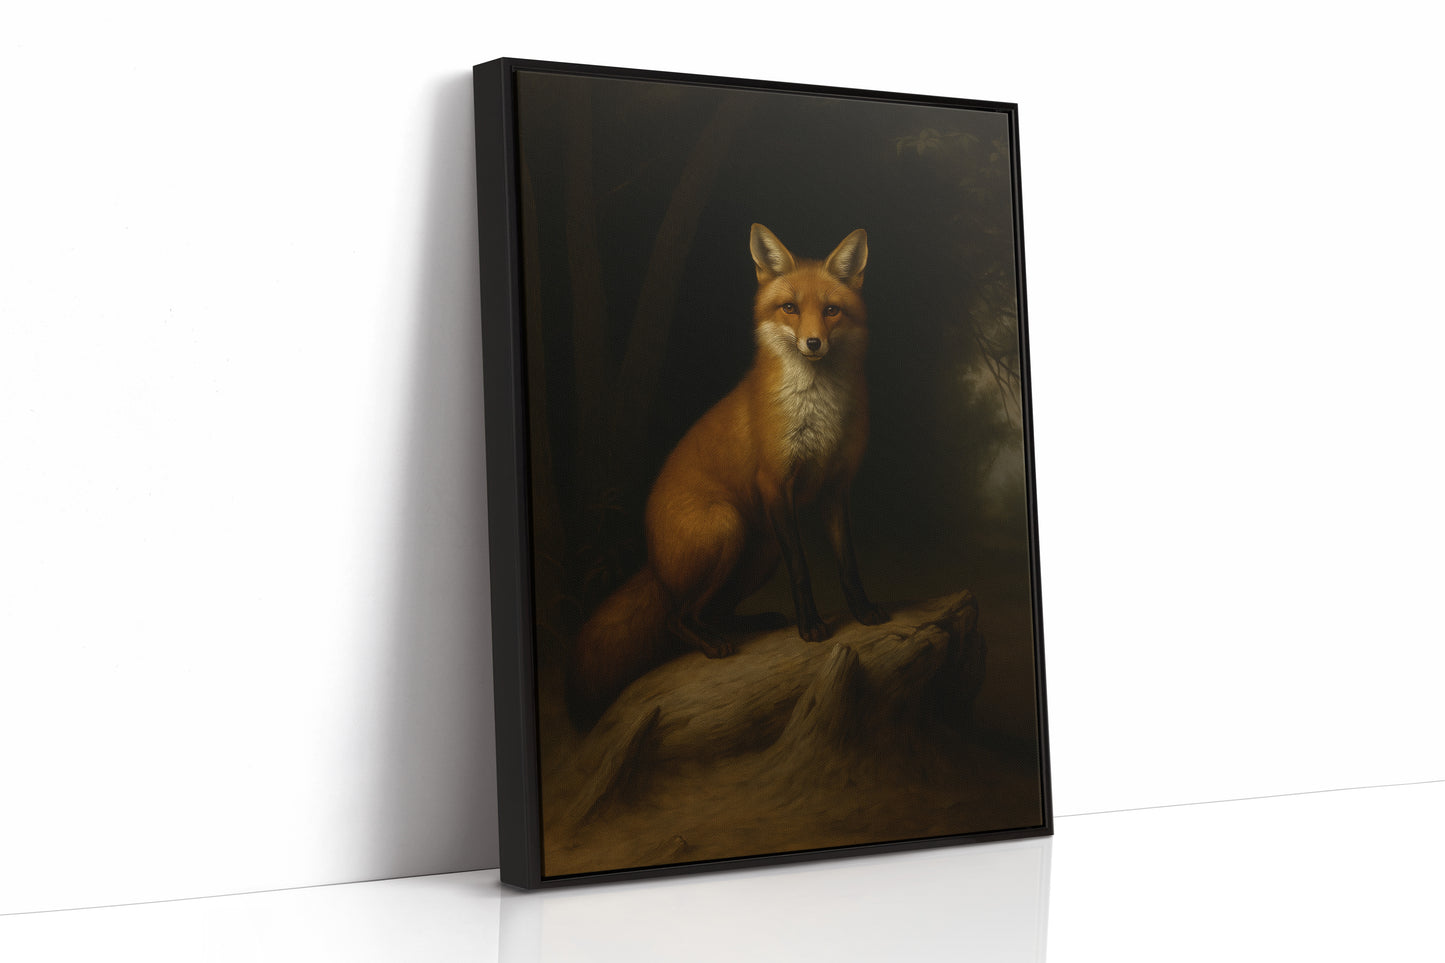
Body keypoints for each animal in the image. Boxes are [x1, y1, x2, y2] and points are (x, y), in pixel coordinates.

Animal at [566, 224, 888, 727]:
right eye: (790, 308)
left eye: (831, 310)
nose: (813, 344)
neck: (818, 414)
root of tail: (653, 562)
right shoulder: (775, 484)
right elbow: (803, 570)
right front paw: (811, 626)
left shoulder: (836, 488)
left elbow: (847, 562)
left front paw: (863, 610)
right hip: (728, 527)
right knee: (677, 617)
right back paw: (712, 644)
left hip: (761, 550)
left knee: (712, 610)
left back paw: (751, 623)